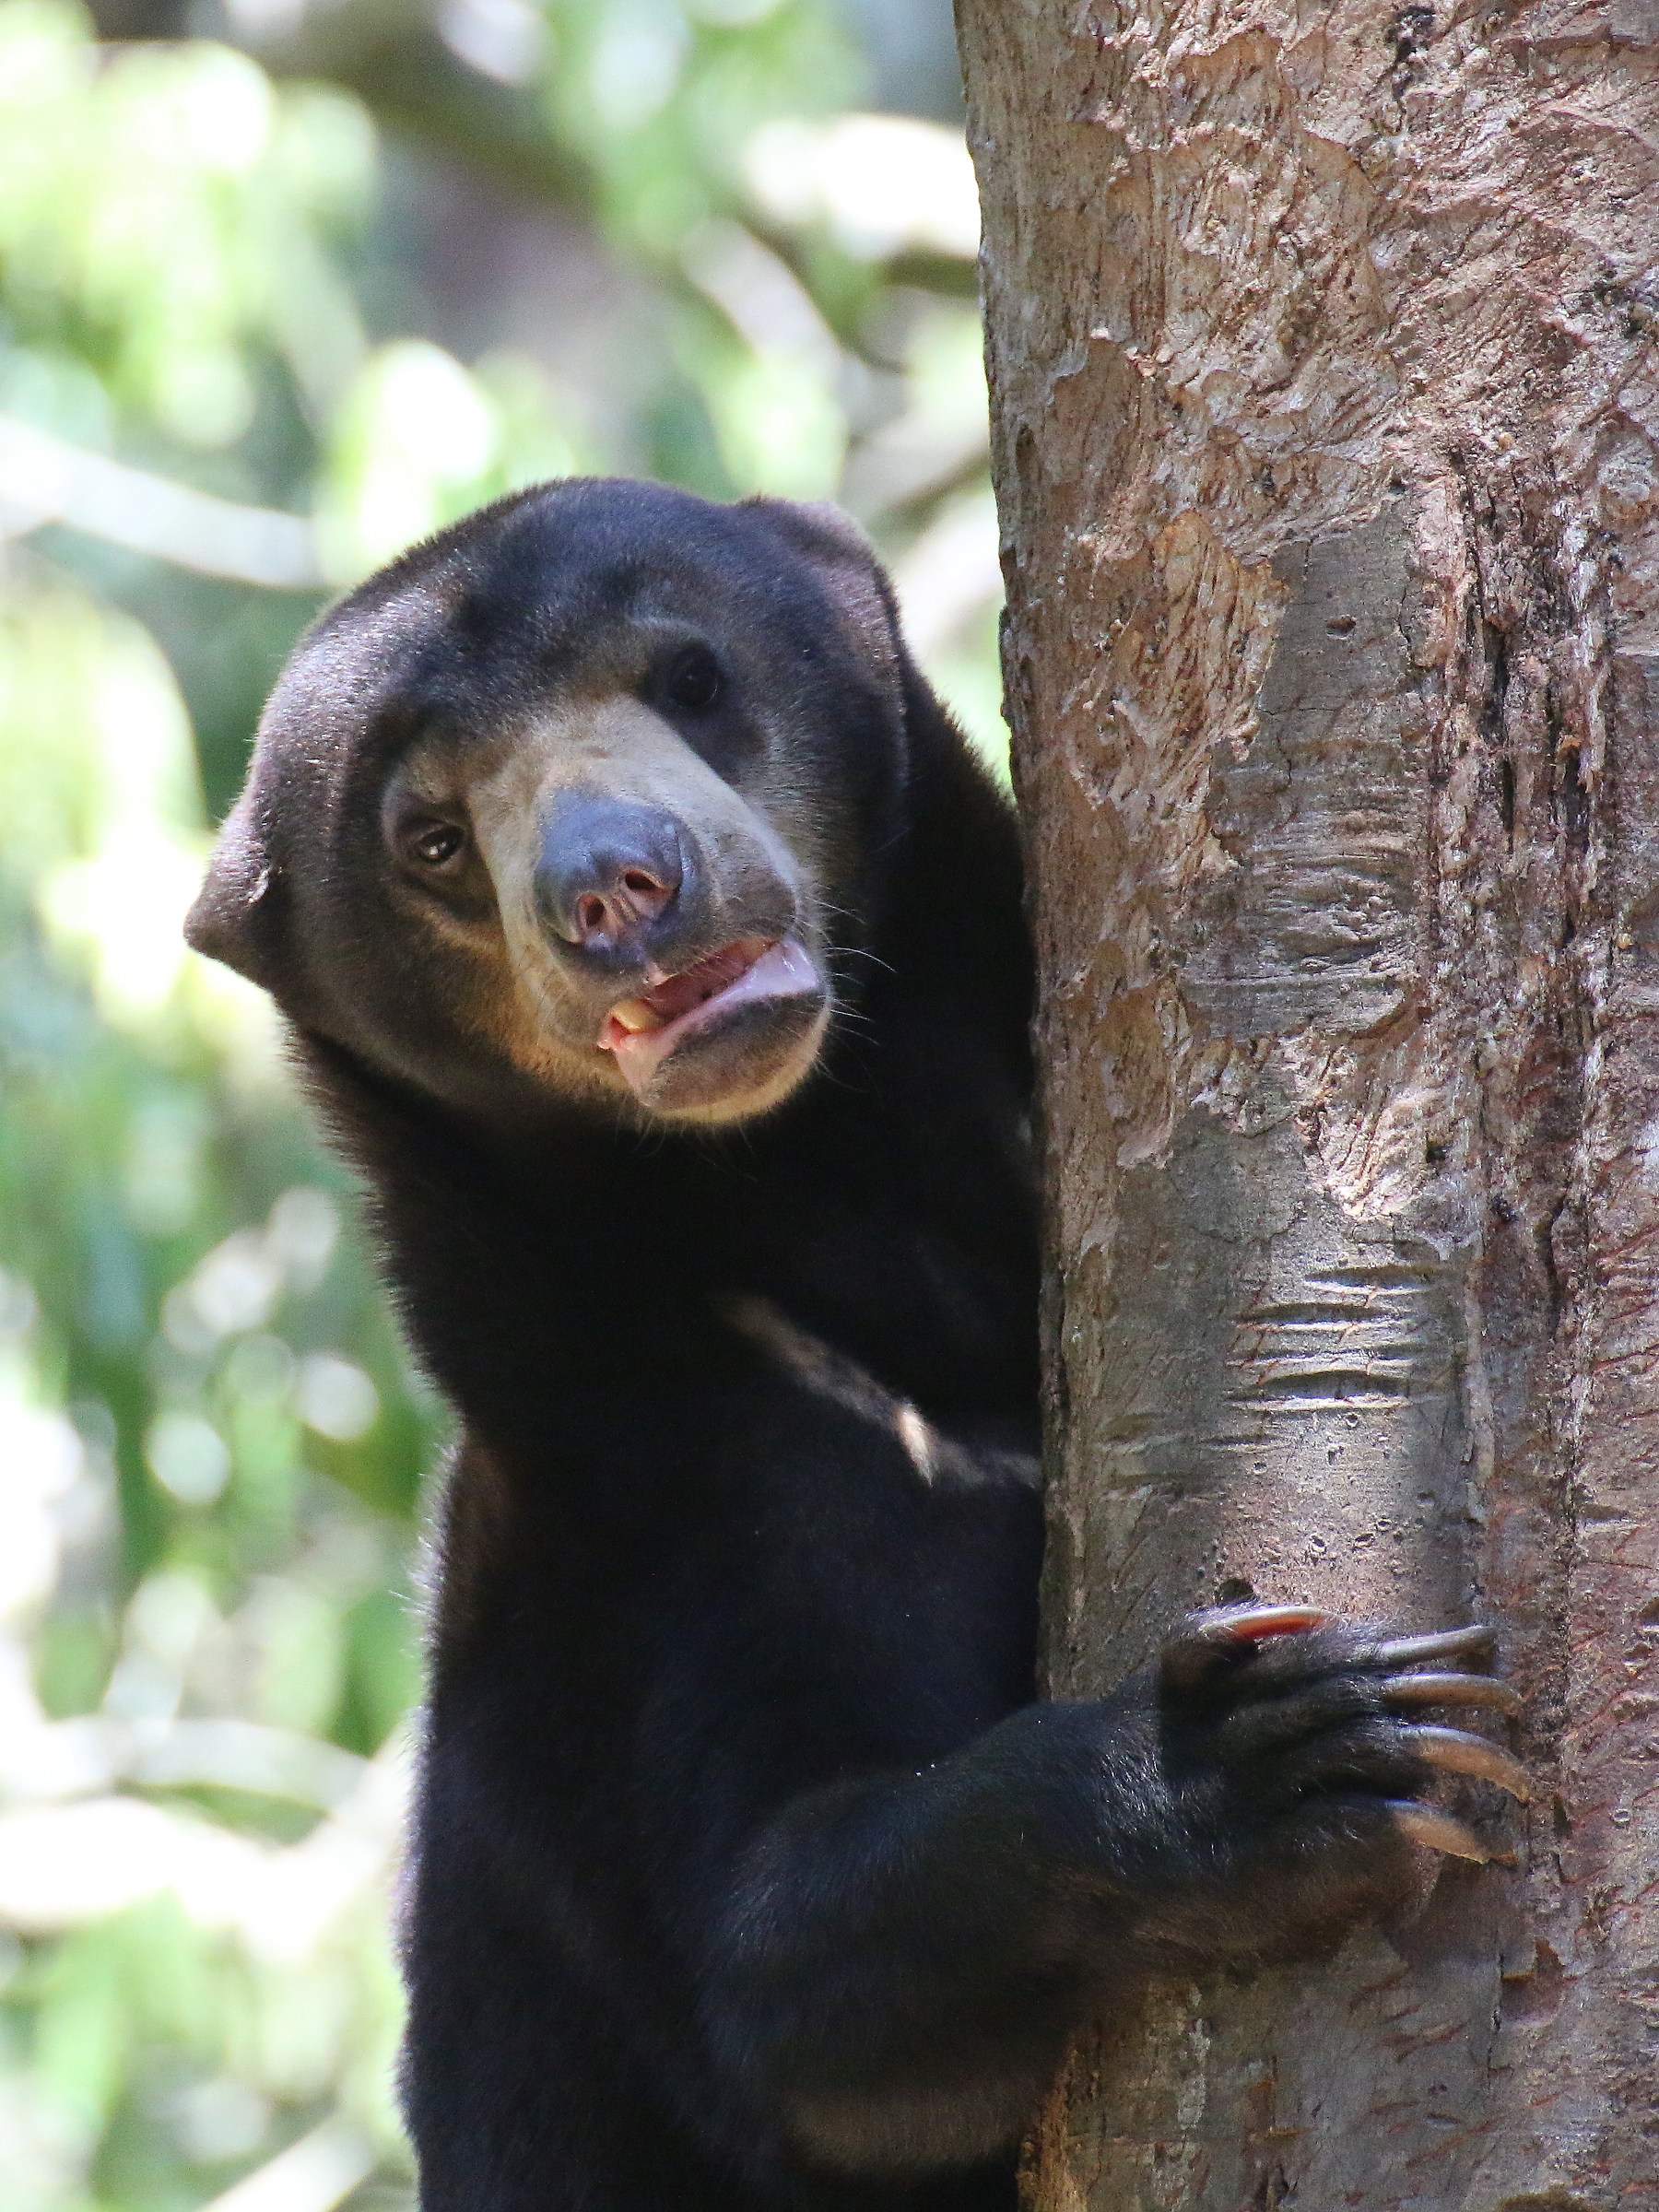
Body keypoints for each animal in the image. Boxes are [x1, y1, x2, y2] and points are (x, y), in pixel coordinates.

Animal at [186, 478, 1526, 2211]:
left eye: (688, 676)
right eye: (428, 838)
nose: (619, 887)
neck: (834, 1198)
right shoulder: (656, 1502)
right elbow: (784, 1995)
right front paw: (1277, 1751)